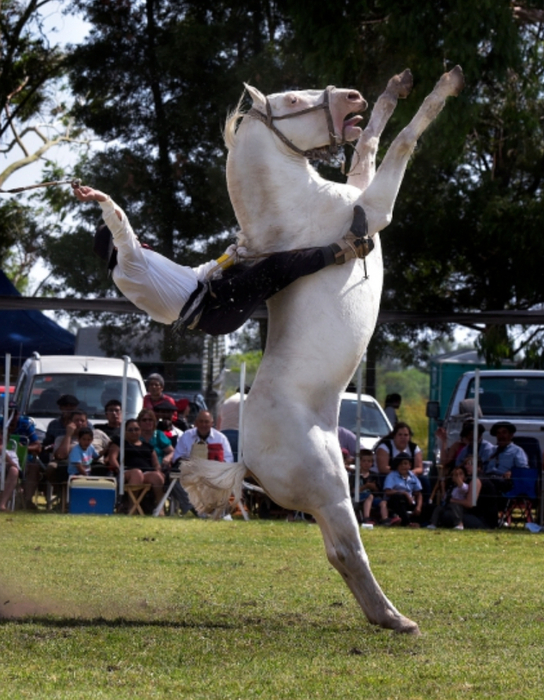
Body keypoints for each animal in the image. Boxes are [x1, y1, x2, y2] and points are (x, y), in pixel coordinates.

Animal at [183, 65, 464, 636]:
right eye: (292, 98)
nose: (351, 95)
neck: (297, 204)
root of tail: (246, 460)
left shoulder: (358, 184)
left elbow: (372, 142)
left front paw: (394, 88)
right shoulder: (373, 206)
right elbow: (403, 140)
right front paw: (444, 86)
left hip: (332, 485)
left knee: (338, 552)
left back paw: (384, 616)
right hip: (334, 488)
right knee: (347, 550)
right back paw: (397, 619)